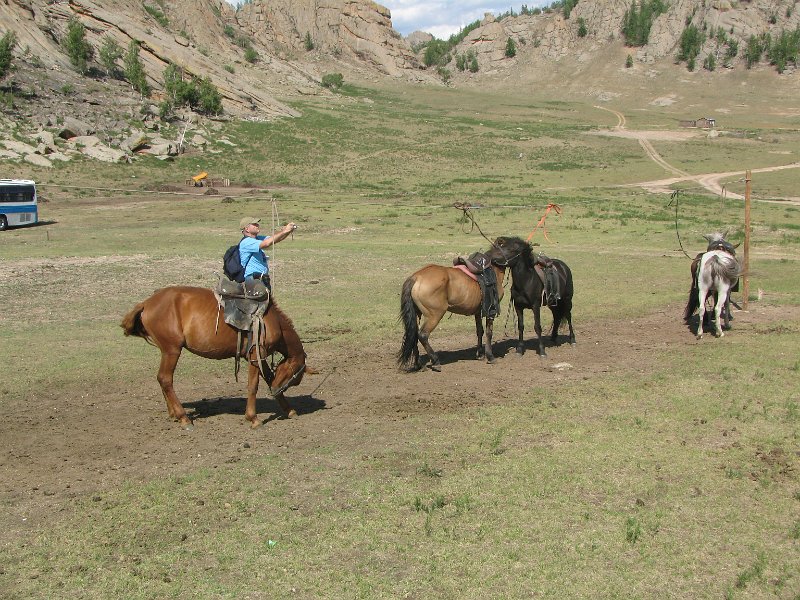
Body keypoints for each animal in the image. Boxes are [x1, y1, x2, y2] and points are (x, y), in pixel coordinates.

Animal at [120, 284, 310, 426]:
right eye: (295, 377)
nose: (277, 390)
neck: (271, 320)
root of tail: (146, 303)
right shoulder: (256, 354)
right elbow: (253, 385)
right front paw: (253, 418)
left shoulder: (259, 357)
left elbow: (268, 378)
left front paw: (288, 409)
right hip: (172, 350)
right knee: (165, 379)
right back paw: (183, 417)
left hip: (167, 351)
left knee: (162, 379)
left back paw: (173, 413)